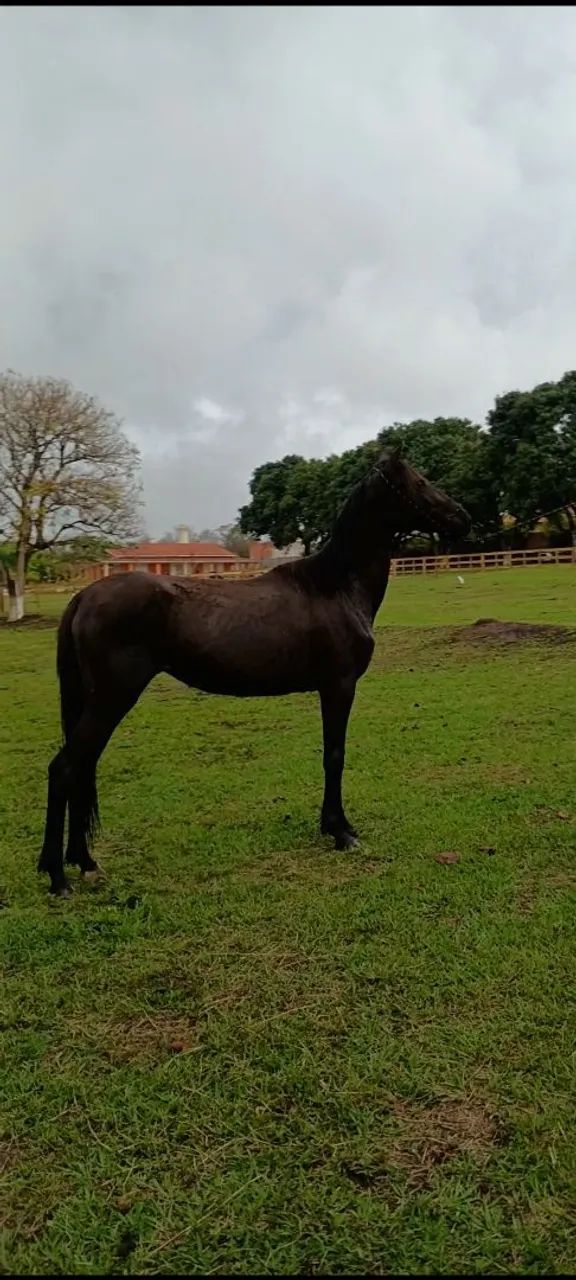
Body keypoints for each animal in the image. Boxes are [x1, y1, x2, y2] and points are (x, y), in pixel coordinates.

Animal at [38, 447, 470, 896]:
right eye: (419, 482)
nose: (462, 516)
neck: (335, 586)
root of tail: (84, 596)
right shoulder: (339, 686)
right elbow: (334, 756)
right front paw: (340, 831)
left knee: (82, 768)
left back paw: (84, 861)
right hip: (111, 698)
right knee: (65, 769)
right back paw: (57, 876)